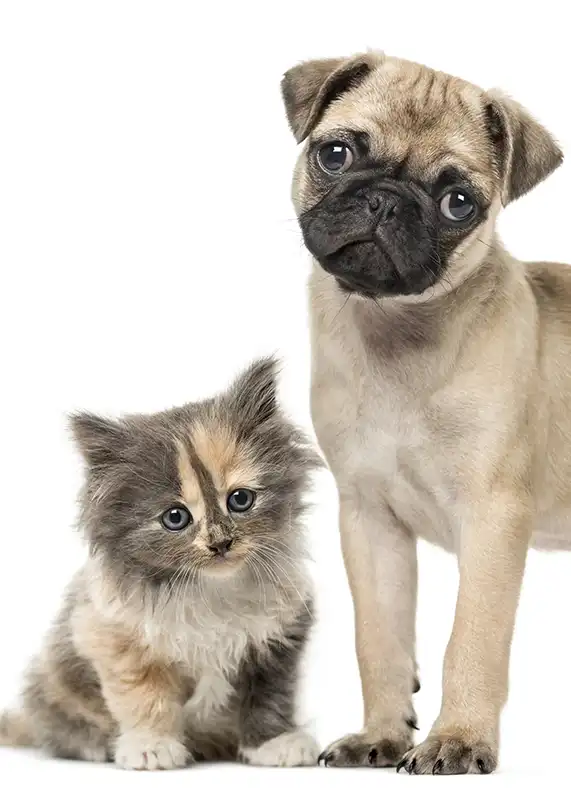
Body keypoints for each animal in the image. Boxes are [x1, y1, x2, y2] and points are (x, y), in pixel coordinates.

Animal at [0, 358, 322, 768]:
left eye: (240, 499)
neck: (212, 589)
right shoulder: (114, 636)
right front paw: (151, 746)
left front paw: (274, 742)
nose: (220, 543)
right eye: (175, 518)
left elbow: (270, 697)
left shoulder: (281, 636)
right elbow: (145, 698)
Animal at [284, 51, 568, 776]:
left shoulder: (493, 523)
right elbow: (379, 638)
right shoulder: (369, 524)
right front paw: (381, 734)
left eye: (457, 202)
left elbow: (471, 640)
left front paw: (459, 738)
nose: (385, 199)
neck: (397, 335)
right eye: (335, 154)